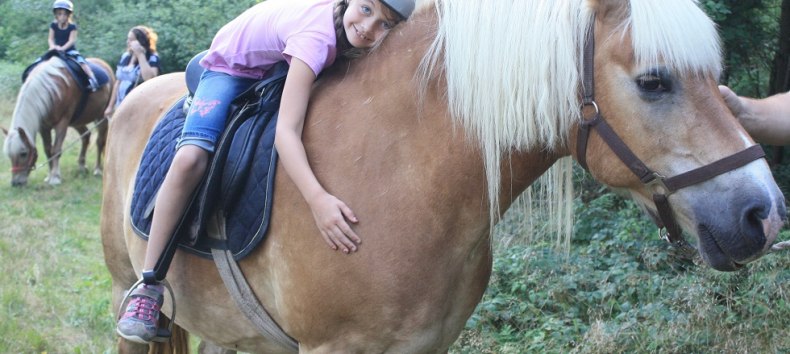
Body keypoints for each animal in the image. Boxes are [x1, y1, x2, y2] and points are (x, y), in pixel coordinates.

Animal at [2, 51, 114, 188]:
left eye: (23, 153)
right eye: (9, 154)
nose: (16, 183)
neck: (51, 89)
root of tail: (105, 65)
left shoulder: (62, 123)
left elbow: (56, 150)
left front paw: (55, 177)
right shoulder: (44, 127)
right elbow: (48, 150)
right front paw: (49, 175)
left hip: (102, 116)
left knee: (99, 142)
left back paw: (97, 169)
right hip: (77, 121)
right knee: (86, 136)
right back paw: (82, 166)